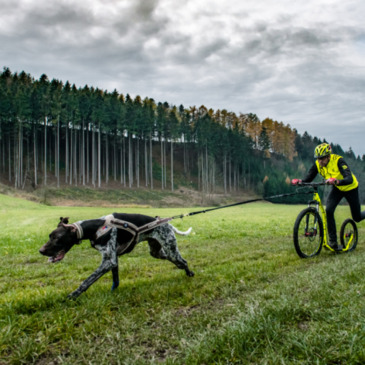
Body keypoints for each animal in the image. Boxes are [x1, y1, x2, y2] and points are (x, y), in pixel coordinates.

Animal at [38, 212, 193, 298]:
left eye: (57, 238)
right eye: (50, 236)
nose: (41, 251)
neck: (96, 227)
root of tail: (167, 224)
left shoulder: (108, 261)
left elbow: (87, 281)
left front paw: (73, 295)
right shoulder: (113, 260)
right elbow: (115, 280)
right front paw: (114, 291)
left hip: (171, 250)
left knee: (183, 261)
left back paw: (189, 273)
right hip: (157, 252)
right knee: (179, 262)